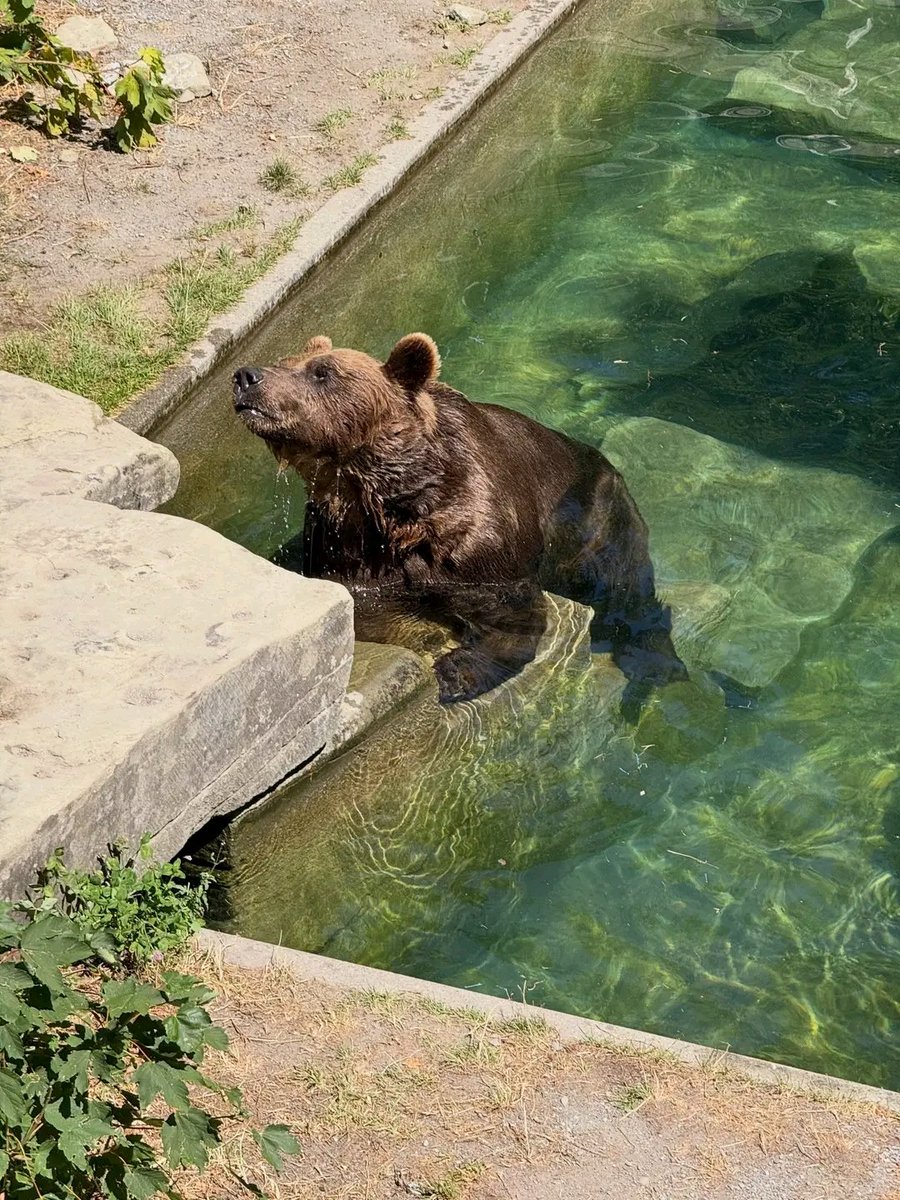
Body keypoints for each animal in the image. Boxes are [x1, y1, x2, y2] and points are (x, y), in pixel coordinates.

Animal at [233, 332, 686, 707]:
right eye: (287, 359)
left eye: (322, 372)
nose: (246, 376)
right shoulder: (340, 543)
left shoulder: (476, 541)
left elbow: (512, 613)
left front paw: (455, 672)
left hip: (592, 516)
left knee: (621, 581)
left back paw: (652, 660)